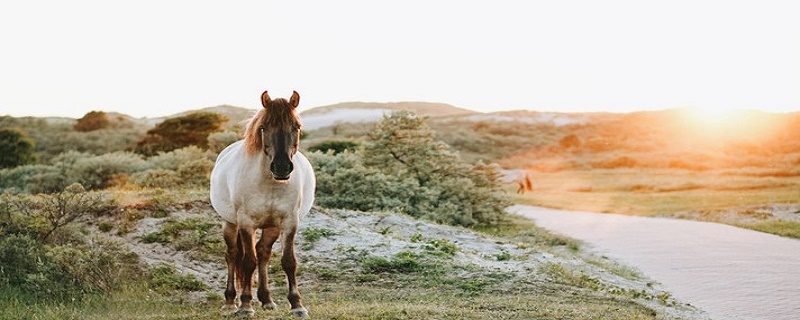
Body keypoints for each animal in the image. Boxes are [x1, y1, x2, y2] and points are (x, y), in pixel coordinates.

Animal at [209, 90, 316, 318]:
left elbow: (288, 262)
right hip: (230, 224)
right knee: (233, 255)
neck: (270, 183)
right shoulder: (246, 223)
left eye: (297, 126)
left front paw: (297, 305)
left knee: (263, 253)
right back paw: (231, 302)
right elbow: (248, 262)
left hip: (272, 227)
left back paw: (267, 300)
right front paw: (245, 306)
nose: (282, 167)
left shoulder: (289, 223)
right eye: (264, 127)